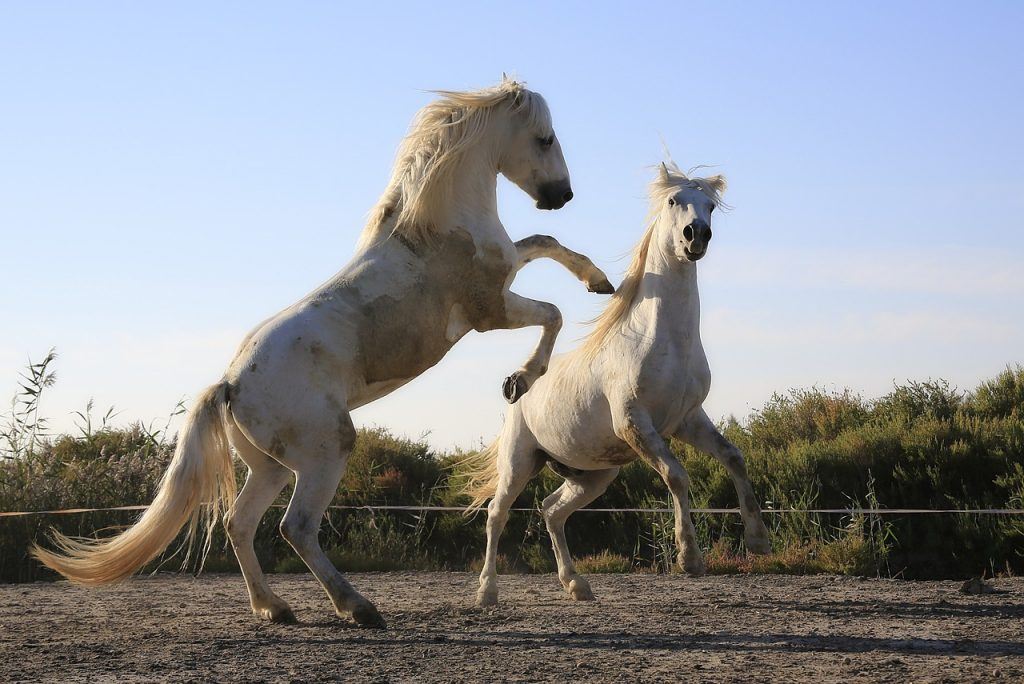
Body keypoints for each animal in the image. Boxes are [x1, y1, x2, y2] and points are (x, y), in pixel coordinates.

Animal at [32, 78, 615, 628]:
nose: (561, 194)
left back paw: (275, 608)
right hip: (327, 449)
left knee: (240, 523)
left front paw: (599, 282)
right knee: (296, 528)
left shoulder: (504, 276)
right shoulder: (489, 310)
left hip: (270, 467)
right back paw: (358, 607)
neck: (434, 228)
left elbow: (544, 244)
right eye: (545, 138)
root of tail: (231, 384)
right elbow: (552, 310)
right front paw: (522, 378)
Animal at [461, 161, 772, 607]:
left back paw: (577, 585)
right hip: (520, 460)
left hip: (593, 474)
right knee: (496, 514)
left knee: (552, 510)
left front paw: (759, 540)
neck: (665, 341)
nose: (696, 236)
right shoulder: (635, 423)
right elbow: (677, 475)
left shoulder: (687, 419)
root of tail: (518, 395)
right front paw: (690, 558)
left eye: (710, 206)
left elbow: (734, 457)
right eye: (674, 201)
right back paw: (487, 592)